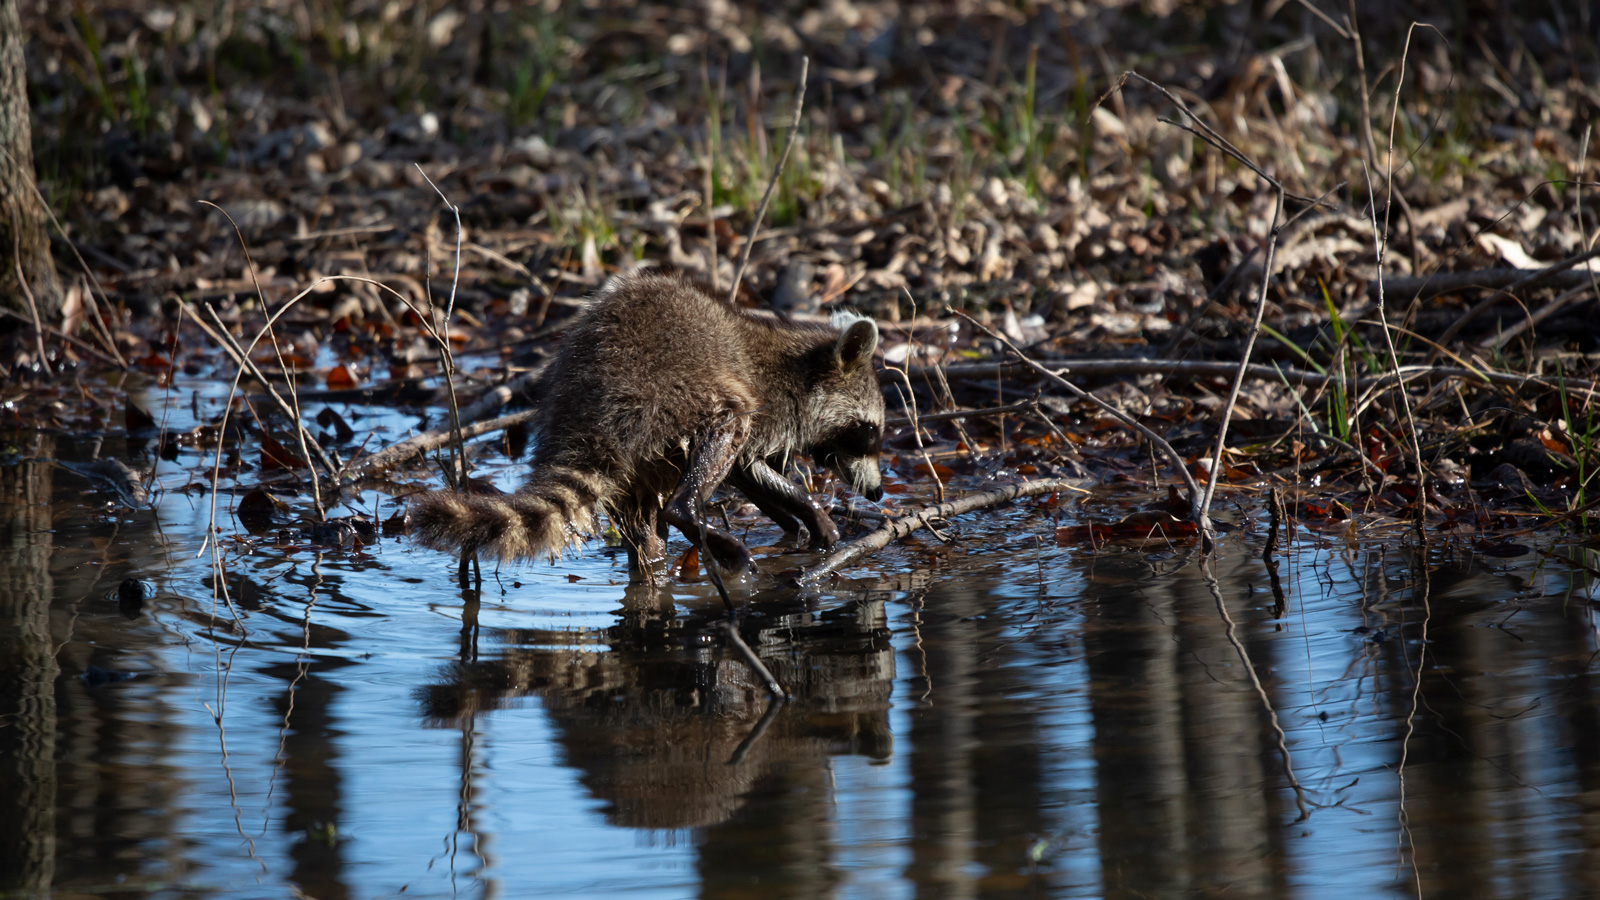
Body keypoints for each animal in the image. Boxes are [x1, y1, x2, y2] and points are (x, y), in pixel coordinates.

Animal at [406, 272, 885, 582]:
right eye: (872, 434)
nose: (879, 492)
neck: (801, 368)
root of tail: (589, 410)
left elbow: (748, 474)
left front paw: (793, 517)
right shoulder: (772, 405)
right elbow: (745, 461)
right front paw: (809, 507)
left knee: (643, 526)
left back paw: (652, 566)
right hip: (676, 391)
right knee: (726, 424)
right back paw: (689, 514)